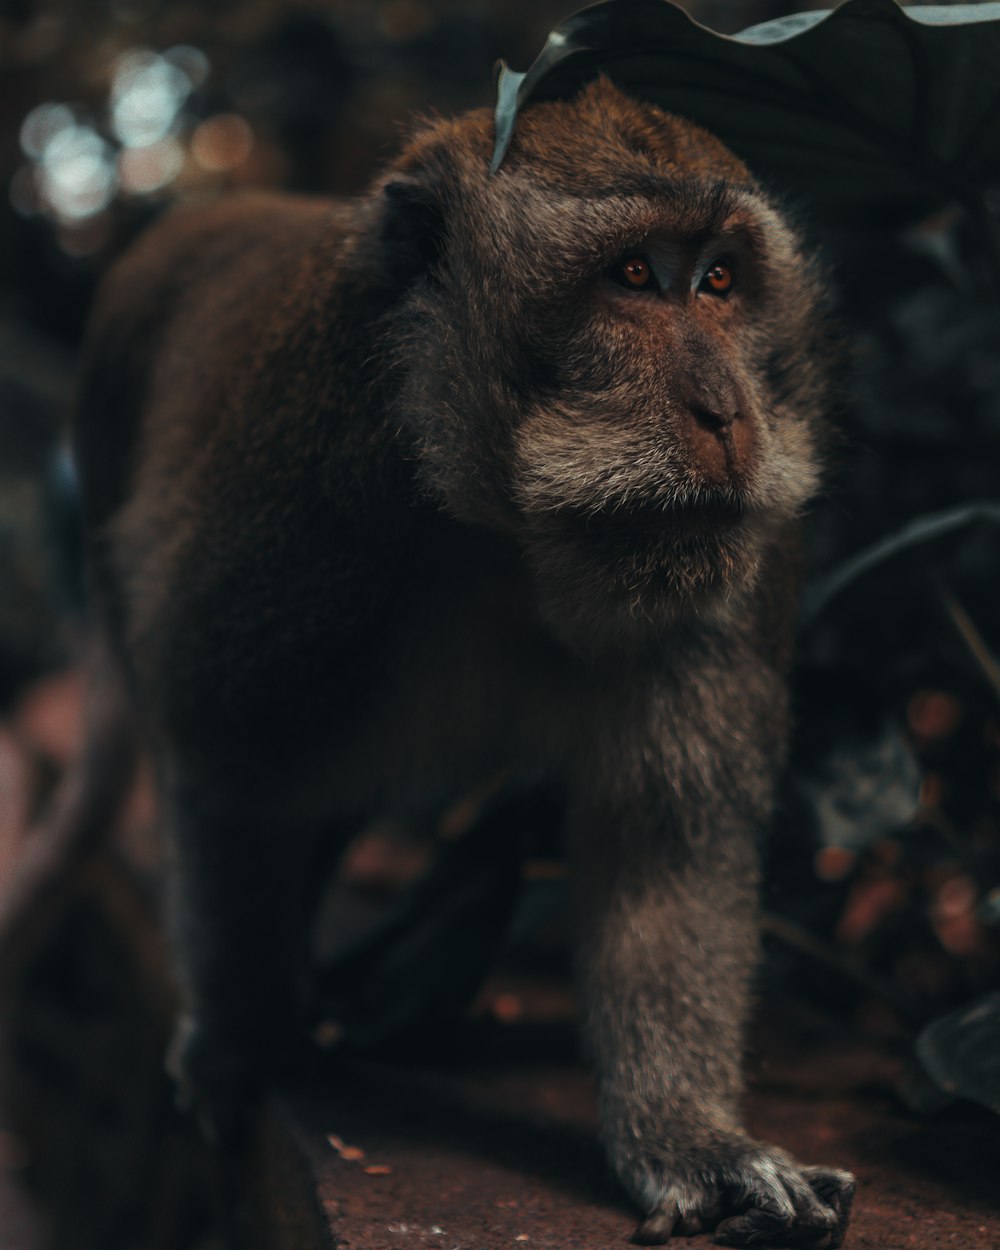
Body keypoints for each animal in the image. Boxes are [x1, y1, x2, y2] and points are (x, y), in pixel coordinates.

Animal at [72, 80, 850, 1250]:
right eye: (632, 276)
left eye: (719, 280)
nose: (726, 413)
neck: (505, 531)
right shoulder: (302, 508)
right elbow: (227, 764)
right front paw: (245, 1036)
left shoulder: (733, 574)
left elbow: (666, 846)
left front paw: (688, 1138)